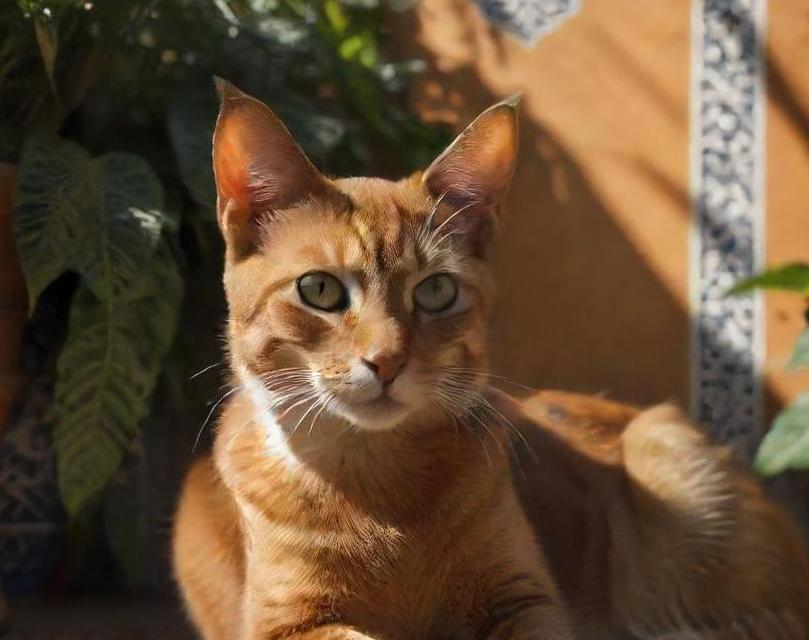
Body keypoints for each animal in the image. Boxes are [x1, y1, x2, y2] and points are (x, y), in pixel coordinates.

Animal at [172, 81, 808, 640]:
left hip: (664, 448)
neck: (378, 490)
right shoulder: (288, 624)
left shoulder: (524, 597)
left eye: (436, 291)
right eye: (320, 290)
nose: (386, 361)